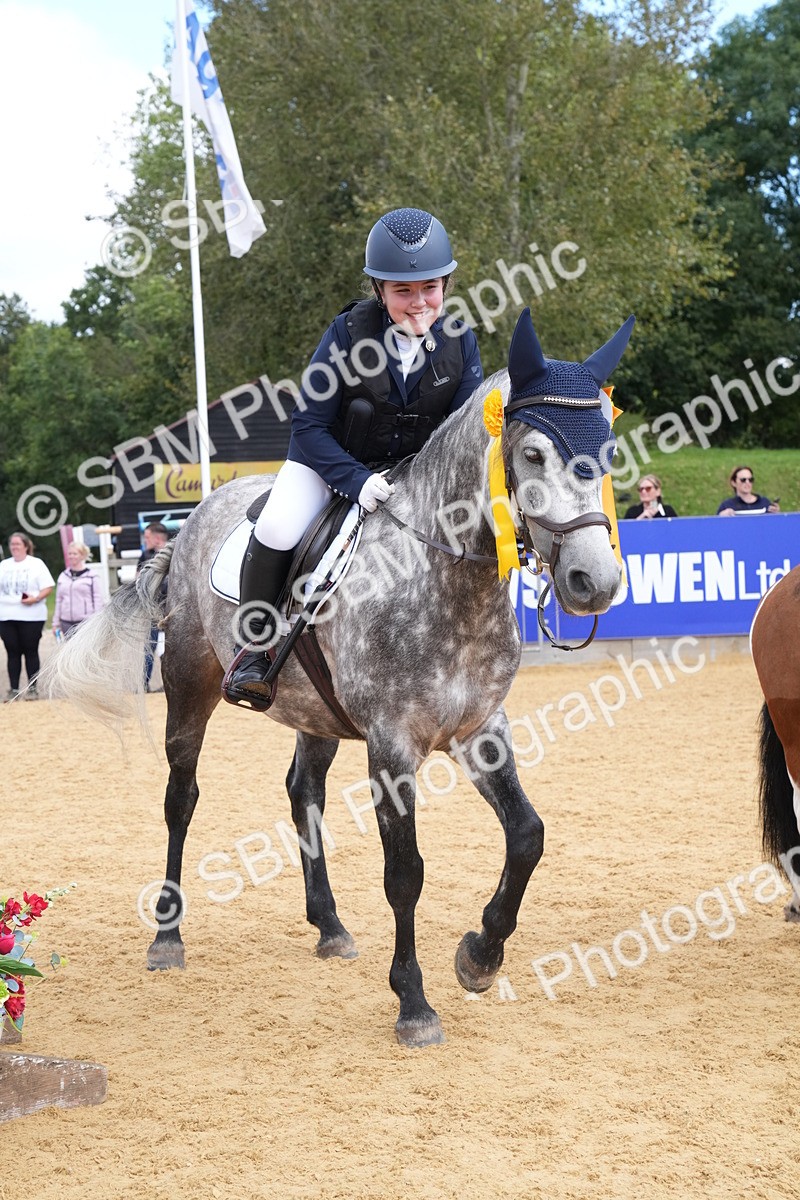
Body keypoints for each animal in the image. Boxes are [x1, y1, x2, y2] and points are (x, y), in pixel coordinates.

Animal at [42, 309, 626, 1046]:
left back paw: (329, 924)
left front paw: (480, 954)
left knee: (302, 791)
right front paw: (414, 1003)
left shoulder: (480, 728)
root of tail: (194, 515)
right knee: (181, 798)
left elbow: (527, 836)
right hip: (188, 682)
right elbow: (405, 873)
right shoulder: (391, 744)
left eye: (607, 453)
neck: (446, 579)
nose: (594, 581)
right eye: (534, 456)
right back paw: (167, 937)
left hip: (314, 710)